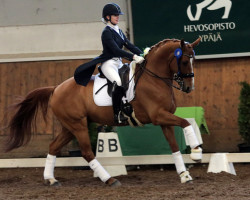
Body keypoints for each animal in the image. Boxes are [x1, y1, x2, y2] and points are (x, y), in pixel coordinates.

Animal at [4, 37, 202, 186]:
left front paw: (184, 175)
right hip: (78, 125)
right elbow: (185, 123)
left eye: (194, 60)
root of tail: (56, 88)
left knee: (53, 147)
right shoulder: (158, 115)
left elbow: (174, 146)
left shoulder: (164, 119)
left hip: (70, 127)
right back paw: (109, 179)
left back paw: (51, 179)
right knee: (86, 152)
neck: (153, 78)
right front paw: (196, 152)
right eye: (185, 61)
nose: (189, 88)